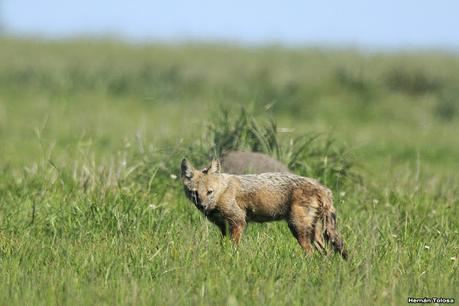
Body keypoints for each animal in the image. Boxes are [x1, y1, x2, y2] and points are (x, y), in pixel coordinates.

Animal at [181, 159, 346, 260]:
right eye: (194, 193)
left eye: (210, 192)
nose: (202, 206)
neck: (223, 191)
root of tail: (322, 187)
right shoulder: (224, 227)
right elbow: (224, 247)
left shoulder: (238, 222)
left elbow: (234, 247)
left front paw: (233, 260)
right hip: (313, 234)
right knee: (326, 254)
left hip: (298, 230)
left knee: (311, 253)